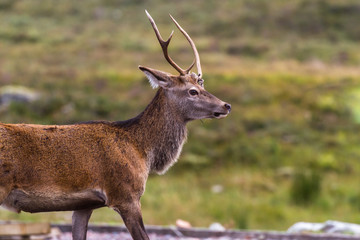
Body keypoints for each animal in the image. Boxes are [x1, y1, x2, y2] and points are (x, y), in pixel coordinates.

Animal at [0, 10, 231, 239]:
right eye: (193, 91)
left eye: (202, 86)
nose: (226, 105)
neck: (142, 151)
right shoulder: (125, 194)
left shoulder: (84, 205)